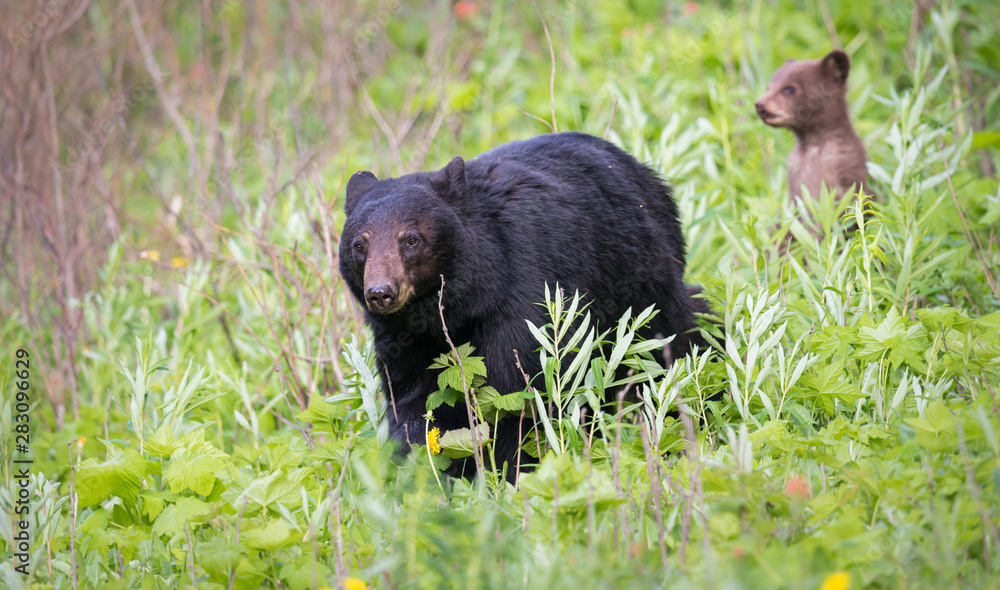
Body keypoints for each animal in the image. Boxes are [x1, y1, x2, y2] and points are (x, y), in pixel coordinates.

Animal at [340, 133, 708, 480]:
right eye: (359, 245)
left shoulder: (524, 292)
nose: (380, 292)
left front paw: (511, 472)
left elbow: (518, 391)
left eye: (411, 239)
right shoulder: (404, 340)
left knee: (673, 342)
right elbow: (416, 403)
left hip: (642, 284)